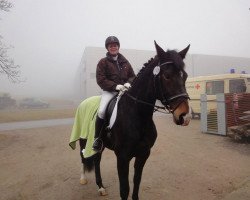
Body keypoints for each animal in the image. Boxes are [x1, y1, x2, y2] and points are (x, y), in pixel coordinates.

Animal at [75, 41, 190, 199]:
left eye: (185, 76)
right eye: (167, 76)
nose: (184, 115)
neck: (138, 116)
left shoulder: (143, 154)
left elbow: (137, 181)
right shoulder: (122, 157)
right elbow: (124, 189)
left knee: (97, 159)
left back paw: (101, 187)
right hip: (84, 139)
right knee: (83, 156)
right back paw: (83, 179)